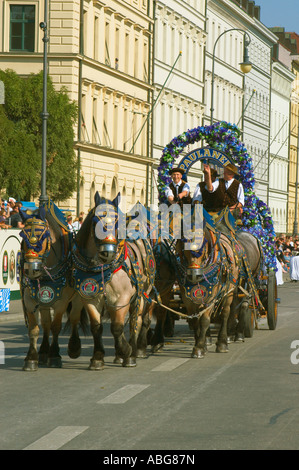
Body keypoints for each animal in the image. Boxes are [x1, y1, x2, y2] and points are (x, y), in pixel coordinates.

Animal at [19, 202, 86, 370]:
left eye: (42, 237)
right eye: (23, 237)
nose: (31, 269)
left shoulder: (61, 302)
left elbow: (56, 327)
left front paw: (55, 355)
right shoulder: (29, 299)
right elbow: (34, 329)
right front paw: (31, 358)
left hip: (77, 299)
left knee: (74, 318)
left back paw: (74, 347)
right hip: (43, 302)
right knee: (46, 324)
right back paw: (43, 352)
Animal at [69, 193, 156, 370]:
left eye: (117, 223)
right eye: (95, 222)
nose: (107, 253)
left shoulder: (122, 299)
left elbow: (117, 327)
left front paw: (127, 351)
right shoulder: (90, 299)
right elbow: (97, 327)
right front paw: (97, 358)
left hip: (143, 295)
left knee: (137, 320)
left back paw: (134, 351)